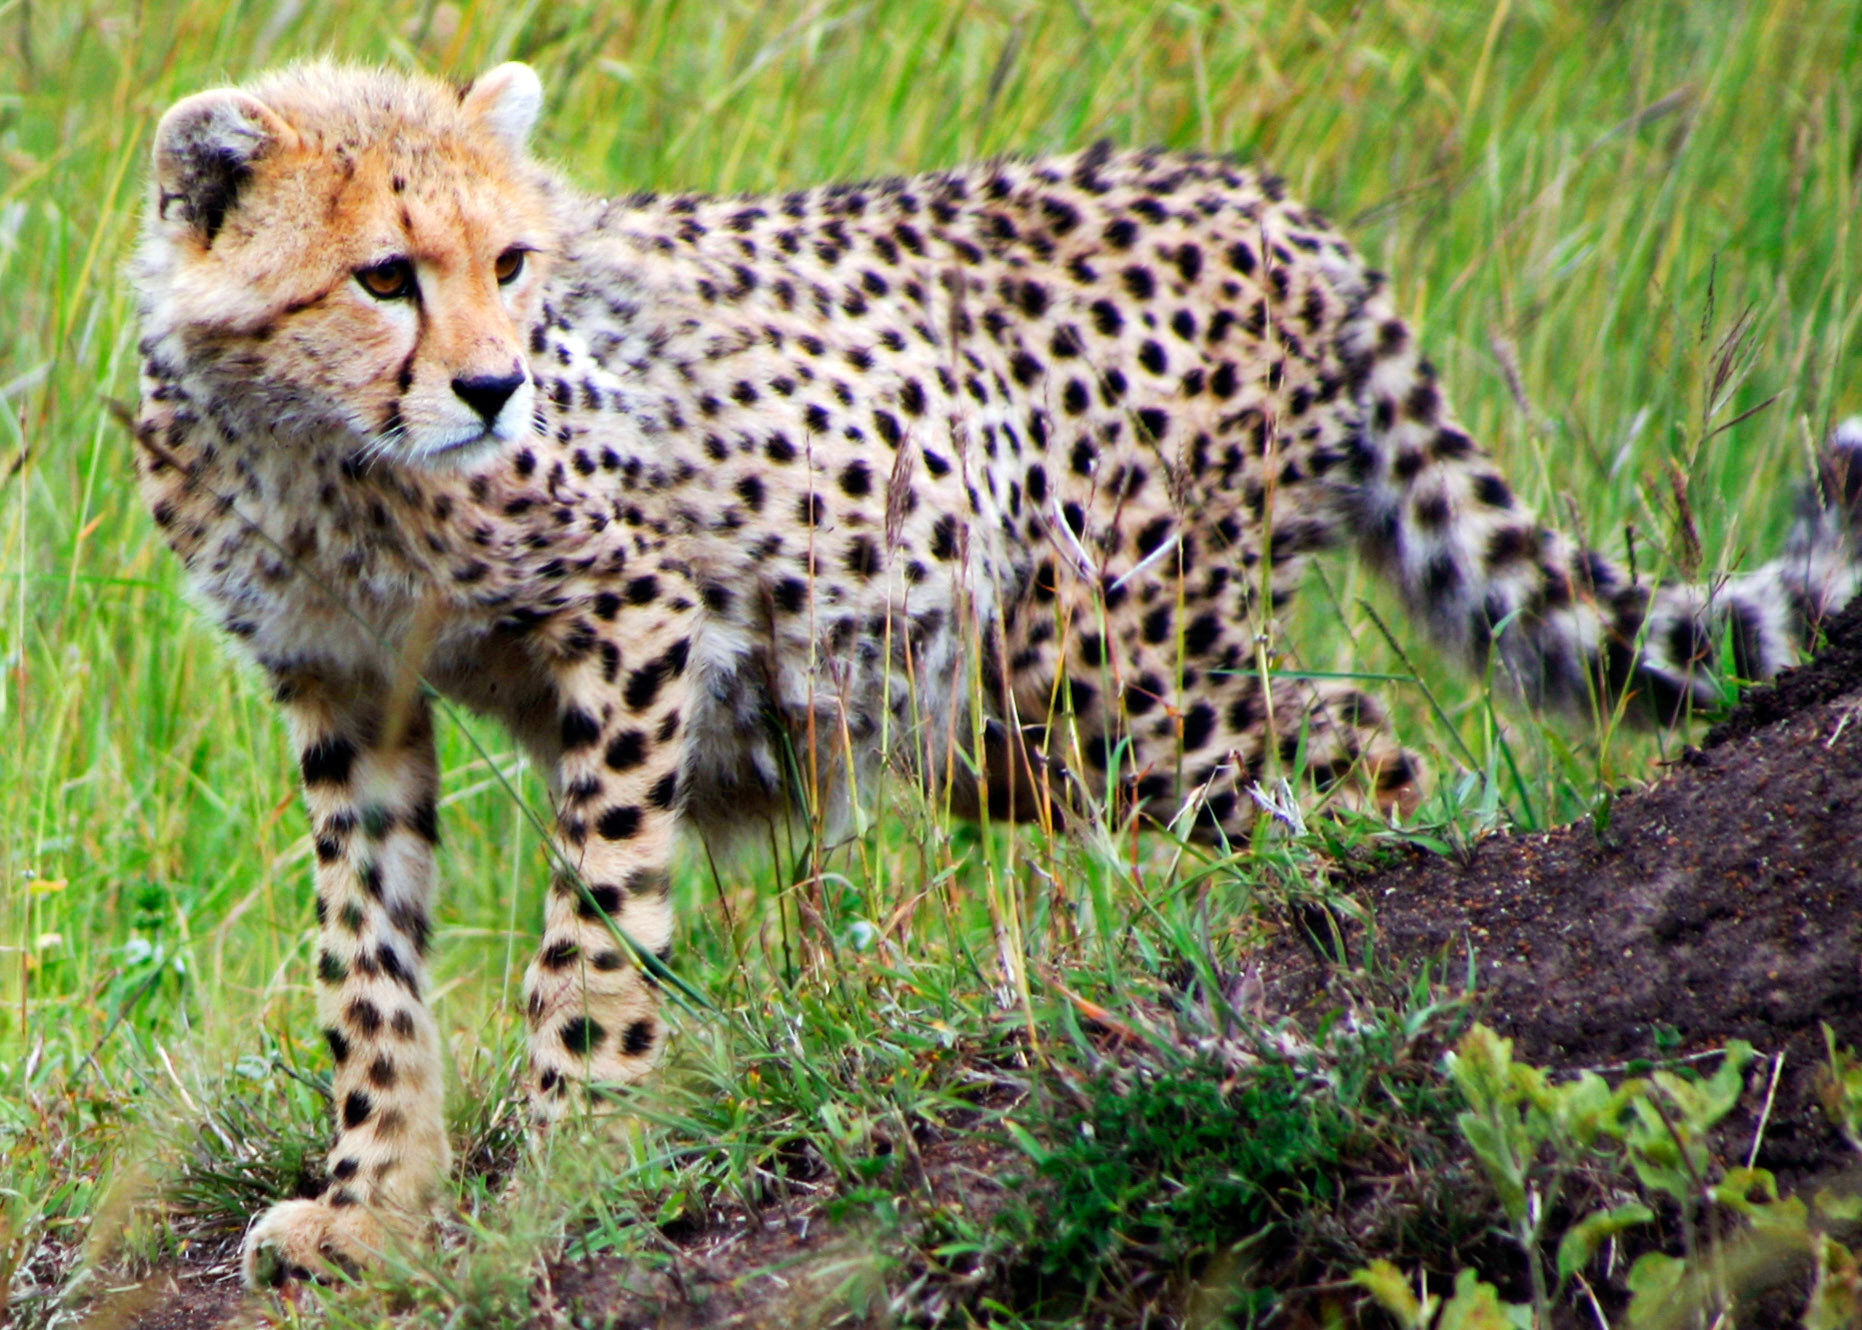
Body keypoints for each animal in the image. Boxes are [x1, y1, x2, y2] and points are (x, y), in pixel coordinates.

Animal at [131, 59, 1862, 1287]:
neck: (318, 451)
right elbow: (367, 967)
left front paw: (559, 1151)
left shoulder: (639, 620)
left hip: (1117, 674)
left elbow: (592, 928)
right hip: (1011, 721)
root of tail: (1257, 196)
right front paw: (371, 1204)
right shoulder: (347, 695)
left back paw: (1324, 918)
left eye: (508, 260)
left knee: (1354, 736)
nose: (492, 388)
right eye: (384, 276)